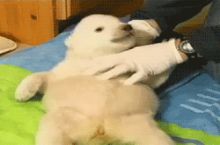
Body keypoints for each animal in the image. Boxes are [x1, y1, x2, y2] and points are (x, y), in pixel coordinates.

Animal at [15, 14, 174, 145]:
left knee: (157, 139)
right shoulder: (69, 70)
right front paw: (22, 93)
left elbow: (152, 79)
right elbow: (47, 78)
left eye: (119, 21)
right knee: (53, 129)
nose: (127, 27)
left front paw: (165, 51)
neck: (97, 58)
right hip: (73, 117)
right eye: (99, 29)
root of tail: (101, 129)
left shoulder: (130, 74)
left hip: (135, 120)